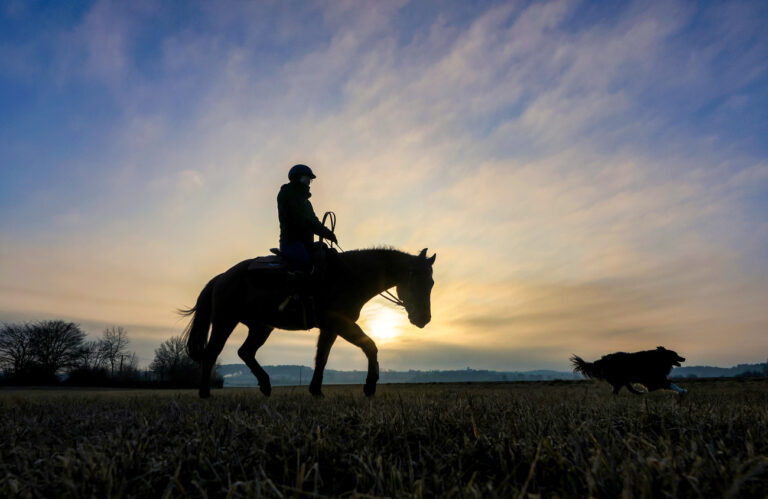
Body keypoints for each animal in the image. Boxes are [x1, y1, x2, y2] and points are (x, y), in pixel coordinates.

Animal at [177, 247, 436, 398]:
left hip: (261, 327)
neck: (349, 276)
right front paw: (370, 386)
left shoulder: (331, 328)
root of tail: (222, 277)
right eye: (418, 281)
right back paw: (205, 393)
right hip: (225, 322)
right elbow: (370, 345)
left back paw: (266, 385)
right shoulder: (340, 324)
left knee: (245, 352)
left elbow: (322, 357)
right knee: (212, 352)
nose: (424, 318)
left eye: (432, 283)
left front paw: (316, 390)